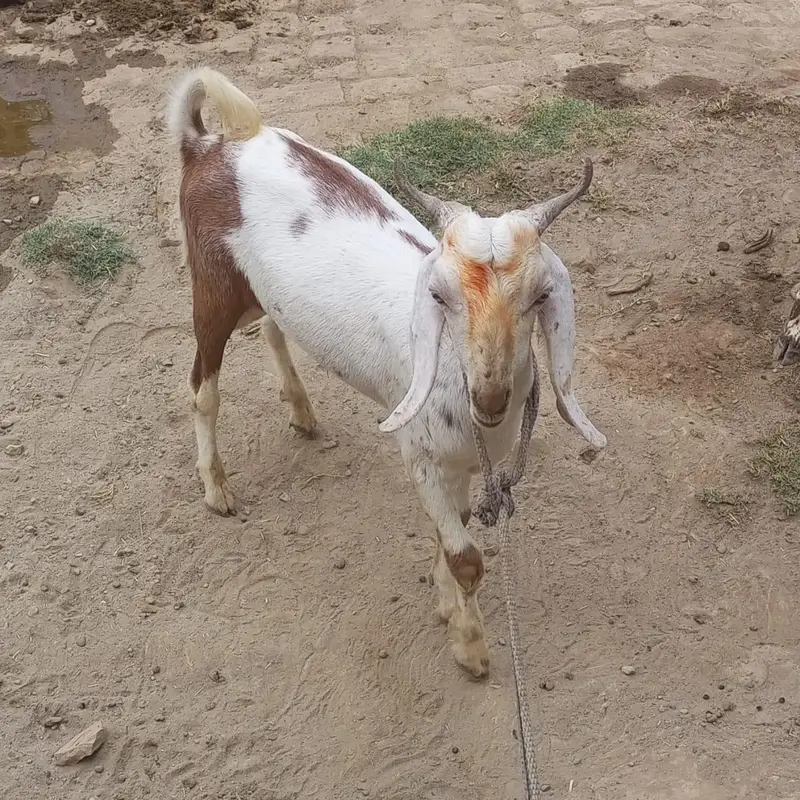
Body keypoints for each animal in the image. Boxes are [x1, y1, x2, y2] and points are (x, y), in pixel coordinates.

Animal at [168, 67, 606, 678]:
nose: (490, 397)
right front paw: (471, 647)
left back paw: (301, 411)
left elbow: (457, 524)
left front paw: (445, 604)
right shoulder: (419, 455)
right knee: (202, 390)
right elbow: (466, 557)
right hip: (213, 288)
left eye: (541, 296)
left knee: (275, 329)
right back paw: (217, 488)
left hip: (260, 292)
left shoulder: (459, 464)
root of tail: (209, 145)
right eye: (439, 296)